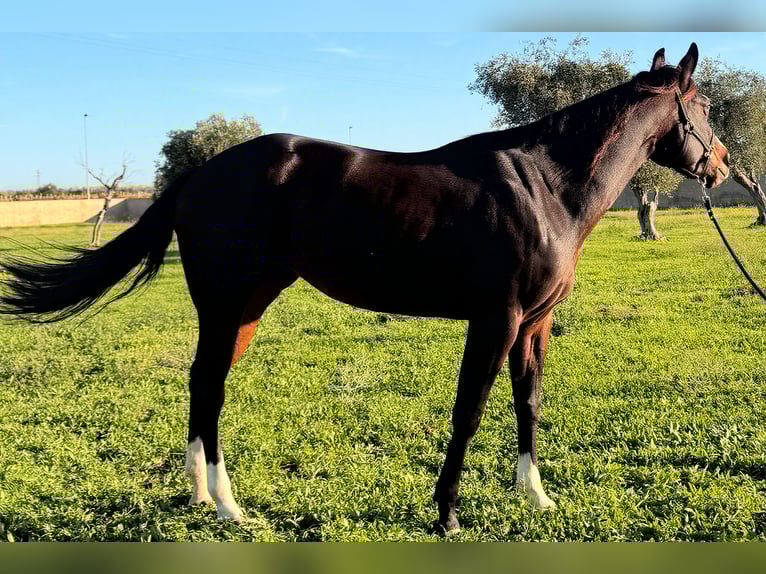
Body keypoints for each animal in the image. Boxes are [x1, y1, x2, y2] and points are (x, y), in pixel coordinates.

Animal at [0, 43, 729, 534]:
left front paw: (537, 496)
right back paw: (230, 506)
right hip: (229, 304)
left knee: (202, 385)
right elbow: (468, 412)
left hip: (245, 308)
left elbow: (529, 403)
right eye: (703, 106)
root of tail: (200, 173)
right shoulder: (494, 319)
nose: (722, 165)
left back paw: (204, 496)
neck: (544, 186)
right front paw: (447, 514)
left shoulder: (533, 324)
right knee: (210, 386)